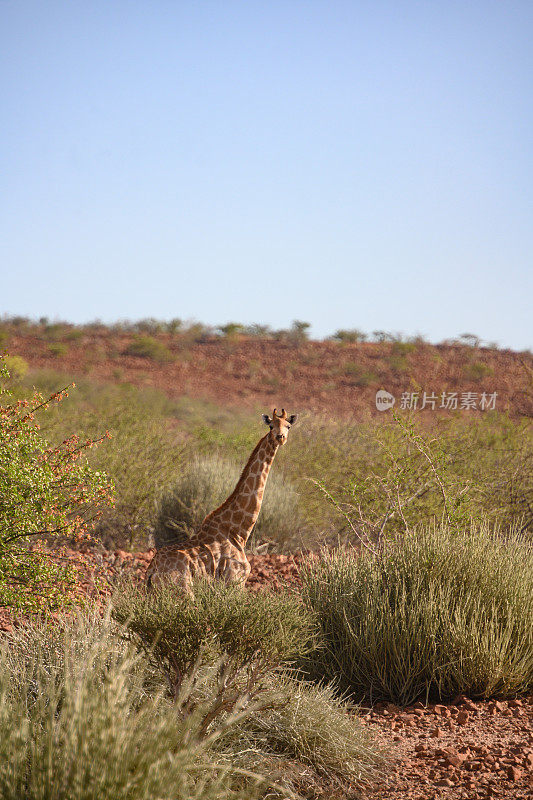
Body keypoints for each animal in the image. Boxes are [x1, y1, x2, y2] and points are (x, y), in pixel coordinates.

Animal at [144, 410, 296, 592]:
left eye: (288, 426)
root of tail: (151, 571)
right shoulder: (235, 580)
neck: (238, 530)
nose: (280, 437)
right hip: (184, 589)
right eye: (271, 426)